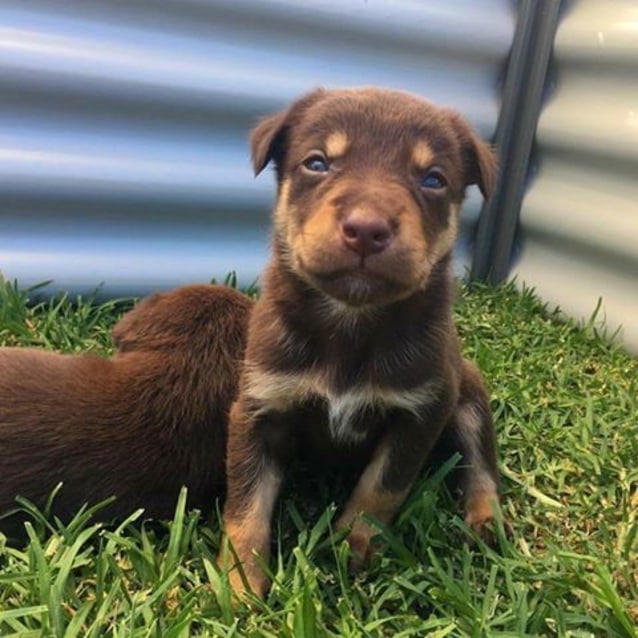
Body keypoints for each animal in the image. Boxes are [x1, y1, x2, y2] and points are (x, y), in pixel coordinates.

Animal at [222, 87, 502, 604]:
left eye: (433, 179)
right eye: (317, 163)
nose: (367, 229)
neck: (351, 320)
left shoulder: (421, 412)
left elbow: (381, 487)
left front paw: (351, 545)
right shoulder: (258, 406)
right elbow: (246, 504)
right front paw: (238, 584)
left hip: (469, 392)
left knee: (480, 463)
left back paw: (486, 521)